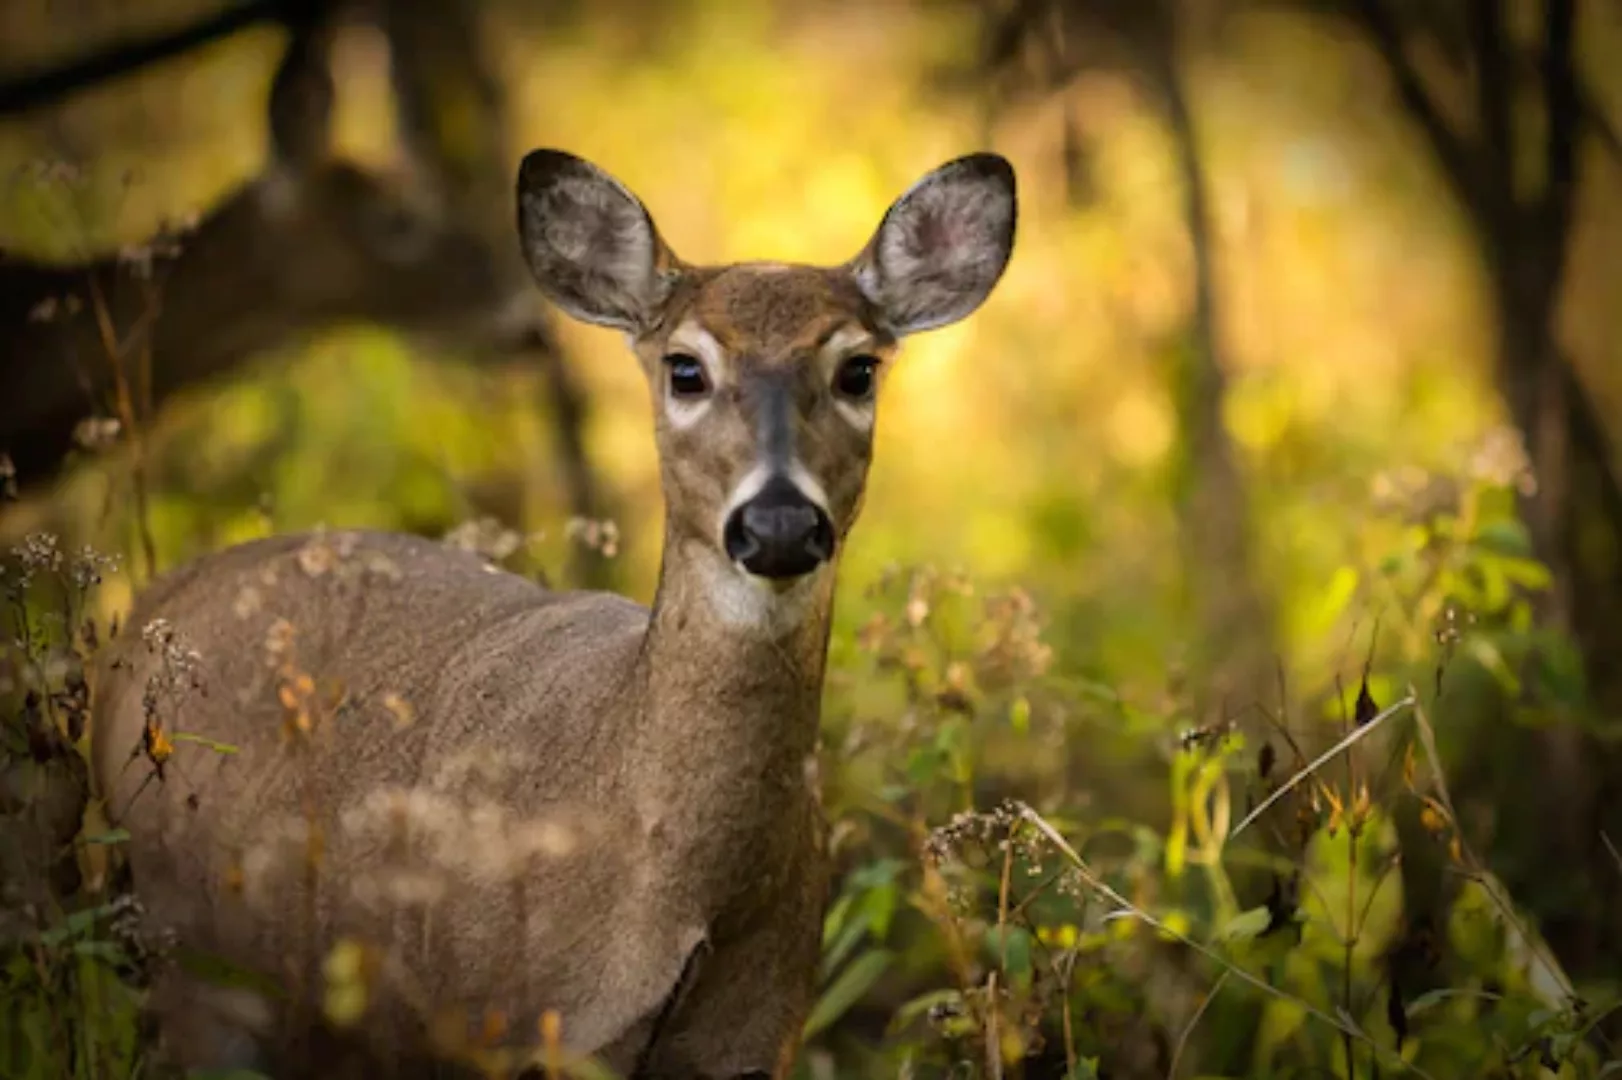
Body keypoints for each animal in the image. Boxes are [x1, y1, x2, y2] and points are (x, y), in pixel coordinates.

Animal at [92, 145, 1012, 1076]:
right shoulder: (516, 1027)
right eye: (685, 368)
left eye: (858, 369)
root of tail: (154, 605)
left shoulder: (758, 1037)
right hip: (194, 963)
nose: (781, 523)